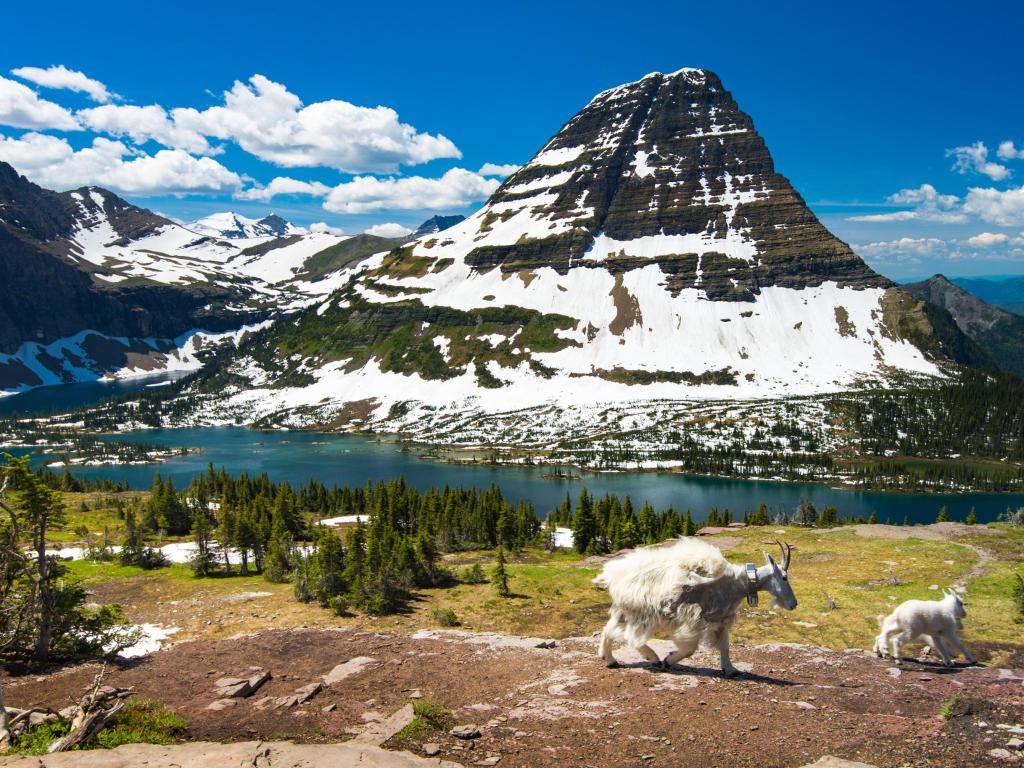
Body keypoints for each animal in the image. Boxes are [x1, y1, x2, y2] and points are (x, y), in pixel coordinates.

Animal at [593, 536, 798, 675]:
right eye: (784, 577)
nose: (794, 604)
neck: (736, 584)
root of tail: (612, 574)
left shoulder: (721, 619)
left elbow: (725, 646)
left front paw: (730, 669)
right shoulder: (693, 619)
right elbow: (690, 648)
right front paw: (668, 660)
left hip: (625, 610)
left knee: (608, 630)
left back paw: (609, 659)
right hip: (641, 611)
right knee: (629, 636)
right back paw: (653, 658)